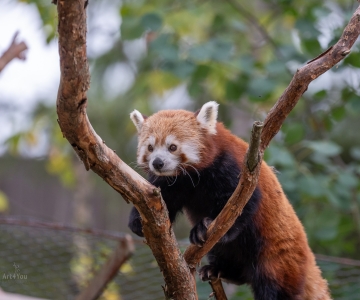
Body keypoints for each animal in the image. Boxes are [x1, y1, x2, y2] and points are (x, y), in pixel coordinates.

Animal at [127, 102, 332, 298]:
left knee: (273, 284)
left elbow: (241, 206)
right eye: (150, 147)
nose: (157, 163)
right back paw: (218, 270)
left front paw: (205, 225)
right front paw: (138, 222)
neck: (192, 177)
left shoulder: (235, 168)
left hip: (278, 258)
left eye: (172, 147)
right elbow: (161, 201)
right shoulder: (172, 183)